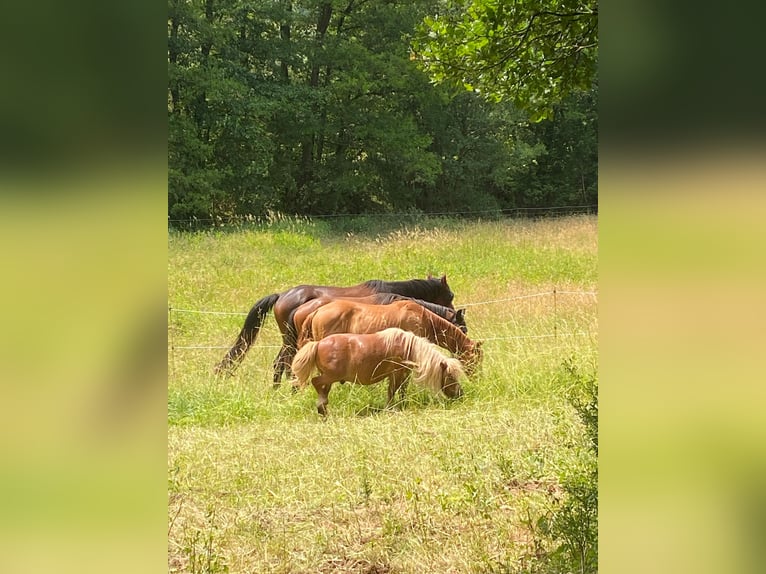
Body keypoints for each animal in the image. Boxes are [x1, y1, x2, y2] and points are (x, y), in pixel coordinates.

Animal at [291, 327, 465, 416]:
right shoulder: (396, 373)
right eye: (450, 376)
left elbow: (401, 391)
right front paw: (390, 408)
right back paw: (322, 407)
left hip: (329, 379)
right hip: (329, 376)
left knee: (322, 389)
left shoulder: (402, 374)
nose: (460, 394)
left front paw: (401, 405)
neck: (408, 346)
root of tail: (318, 343)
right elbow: (392, 391)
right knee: (316, 383)